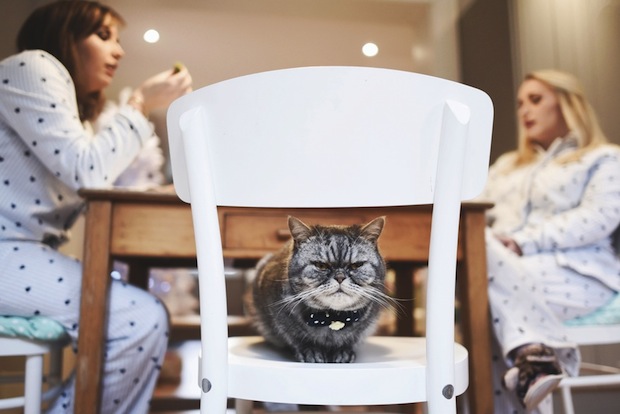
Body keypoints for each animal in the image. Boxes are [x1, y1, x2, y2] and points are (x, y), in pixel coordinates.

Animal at [245, 217, 390, 362]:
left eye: (356, 265)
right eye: (321, 265)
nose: (340, 277)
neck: (331, 318)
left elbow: (353, 337)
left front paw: (343, 351)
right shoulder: (278, 314)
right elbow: (294, 336)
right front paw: (311, 351)